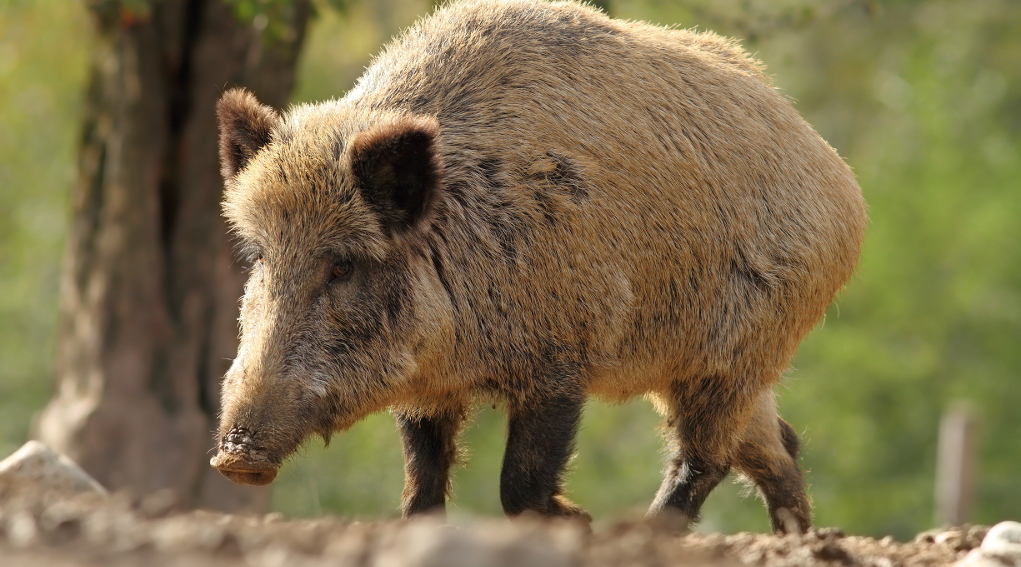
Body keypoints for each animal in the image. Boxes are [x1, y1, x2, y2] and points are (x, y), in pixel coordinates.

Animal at [209, 0, 866, 534]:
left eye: (342, 265)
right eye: (261, 256)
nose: (234, 458)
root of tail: (842, 185)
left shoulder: (562, 354)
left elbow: (518, 483)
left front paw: (579, 520)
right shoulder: (429, 386)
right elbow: (422, 482)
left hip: (741, 350)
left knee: (705, 456)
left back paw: (646, 532)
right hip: (709, 365)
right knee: (777, 445)